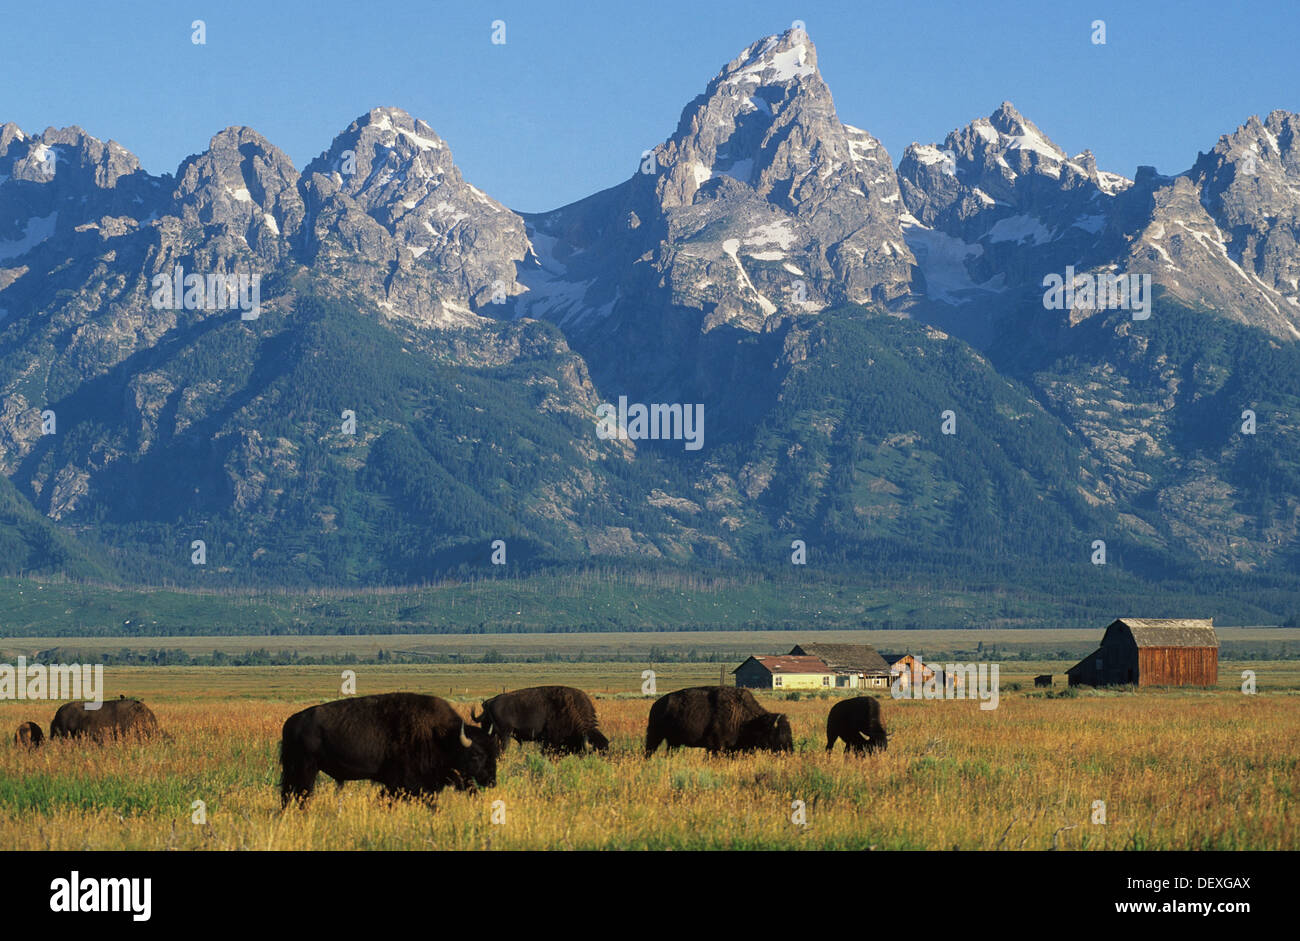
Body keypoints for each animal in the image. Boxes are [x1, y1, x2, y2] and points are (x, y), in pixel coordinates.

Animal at [279, 692, 498, 807]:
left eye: (494, 753)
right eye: (476, 755)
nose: (491, 781)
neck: (441, 736)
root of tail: (291, 722)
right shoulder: (404, 784)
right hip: (306, 769)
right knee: (301, 794)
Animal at [645, 686, 793, 756]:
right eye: (778, 734)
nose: (790, 751)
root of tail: (656, 705)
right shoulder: (716, 747)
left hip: (674, 742)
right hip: (655, 736)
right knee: (649, 750)